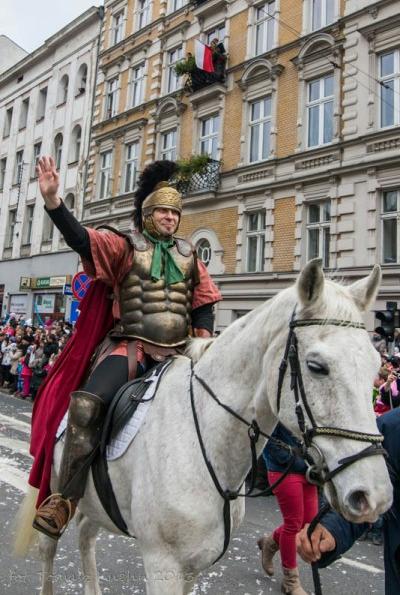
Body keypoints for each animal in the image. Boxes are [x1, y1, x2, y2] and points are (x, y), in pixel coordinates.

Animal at [15, 259, 393, 595]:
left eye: (376, 365)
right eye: (316, 366)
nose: (374, 496)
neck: (208, 443)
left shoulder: (195, 565)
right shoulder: (162, 564)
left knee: (85, 534)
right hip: (52, 482)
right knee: (50, 546)